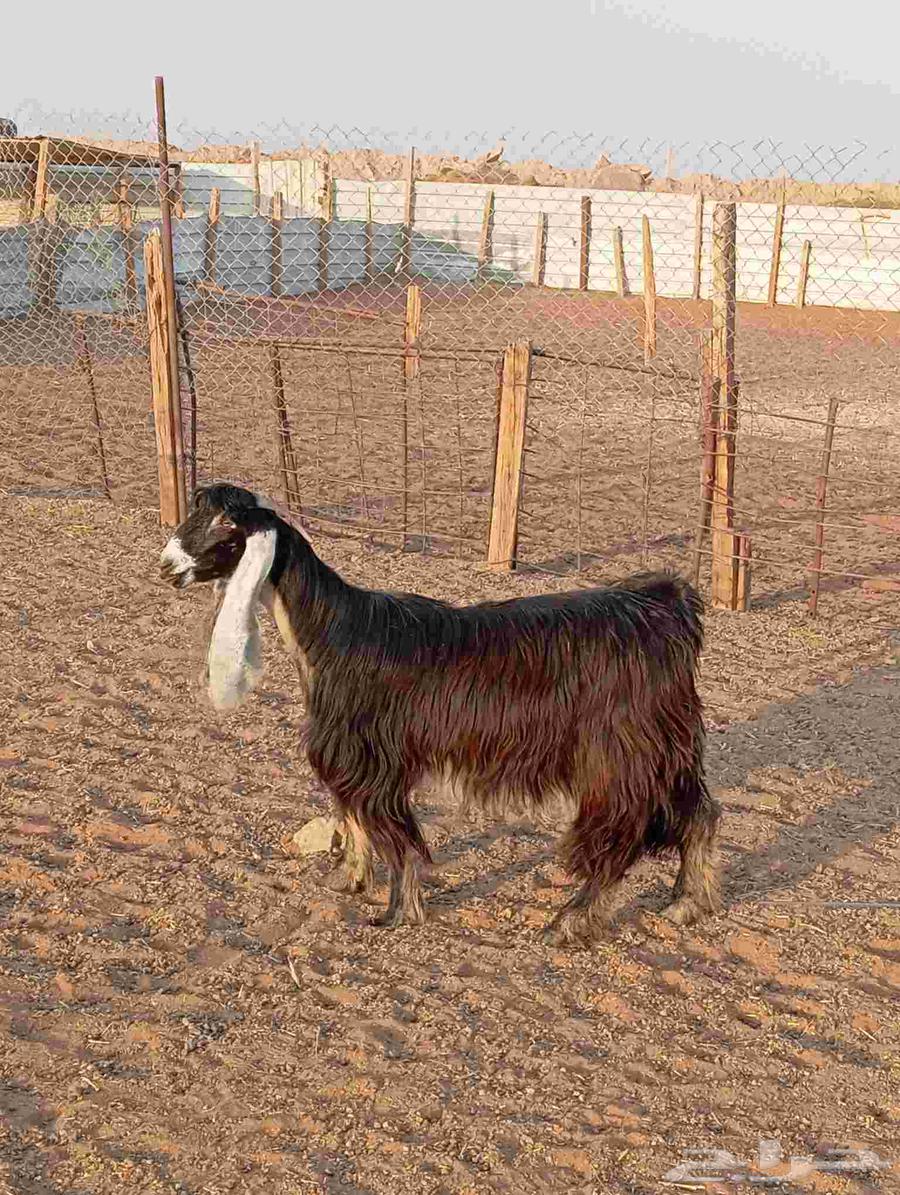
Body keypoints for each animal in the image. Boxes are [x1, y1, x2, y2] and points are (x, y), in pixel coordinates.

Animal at [160, 483, 721, 943]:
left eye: (227, 524)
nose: (166, 565)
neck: (334, 635)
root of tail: (667, 606)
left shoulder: (375, 760)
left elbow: (394, 836)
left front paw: (396, 912)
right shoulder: (350, 756)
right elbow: (352, 817)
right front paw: (350, 880)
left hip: (618, 754)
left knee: (621, 835)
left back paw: (570, 921)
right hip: (665, 749)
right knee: (700, 814)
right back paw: (687, 903)